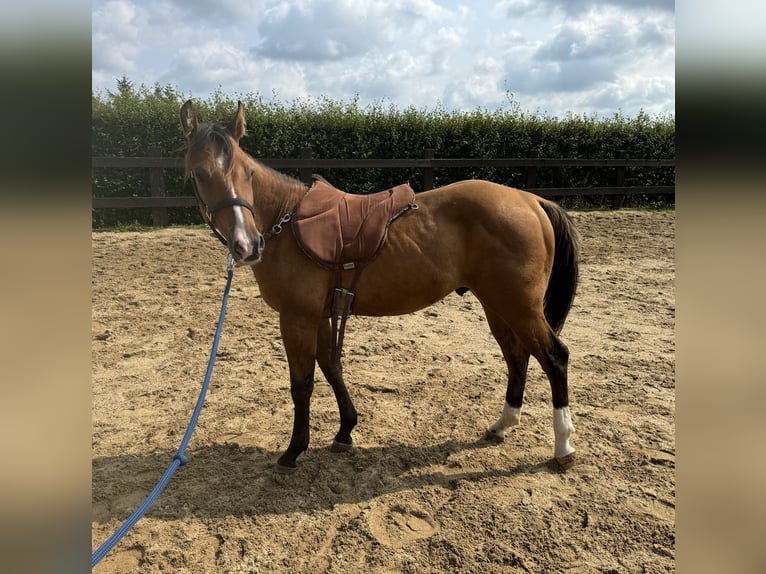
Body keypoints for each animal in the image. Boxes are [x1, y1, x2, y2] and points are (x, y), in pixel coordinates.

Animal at [180, 101, 580, 474]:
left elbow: (302, 383)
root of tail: (531, 200)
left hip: (519, 307)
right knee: (517, 357)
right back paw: (502, 425)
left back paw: (563, 447)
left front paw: (294, 450)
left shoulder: (297, 318)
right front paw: (345, 430)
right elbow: (331, 367)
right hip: (498, 306)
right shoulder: (319, 316)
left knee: (554, 357)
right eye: (199, 174)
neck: (286, 222)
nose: (247, 245)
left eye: (247, 172)